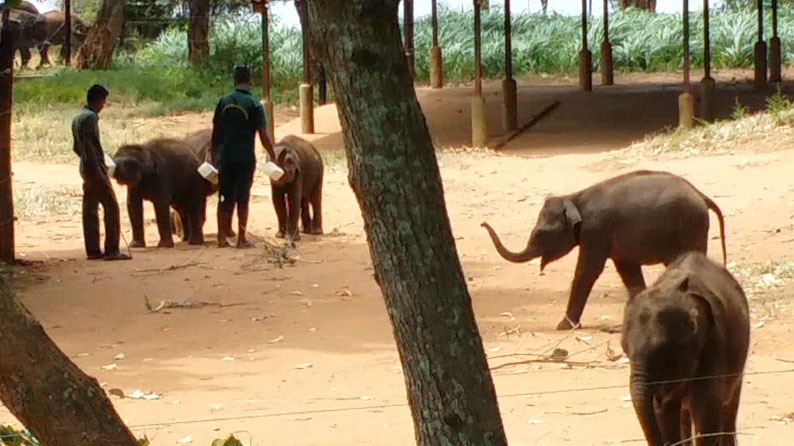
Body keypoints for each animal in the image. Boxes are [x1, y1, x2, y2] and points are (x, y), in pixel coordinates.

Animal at [480, 171, 728, 332]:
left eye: (541, 232)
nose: (482, 223)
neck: (575, 197)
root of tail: (701, 195)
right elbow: (628, 271)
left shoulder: (596, 230)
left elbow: (587, 271)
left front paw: (563, 326)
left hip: (691, 227)